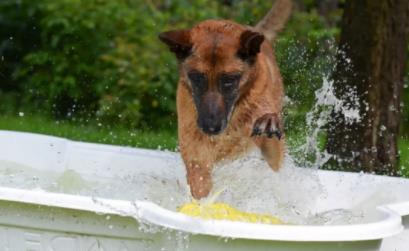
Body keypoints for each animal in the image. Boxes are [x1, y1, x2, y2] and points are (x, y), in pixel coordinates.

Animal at [158, 0, 292, 200]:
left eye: (229, 80)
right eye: (197, 78)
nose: (210, 127)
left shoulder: (273, 153)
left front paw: (268, 121)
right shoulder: (197, 157)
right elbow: (200, 186)